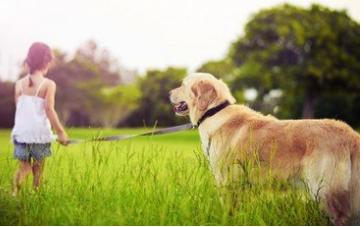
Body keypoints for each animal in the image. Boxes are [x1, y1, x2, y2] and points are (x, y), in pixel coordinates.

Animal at [169, 73, 360, 225]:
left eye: (183, 85)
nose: (168, 93)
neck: (213, 112)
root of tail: (350, 134)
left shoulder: (227, 182)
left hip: (326, 192)